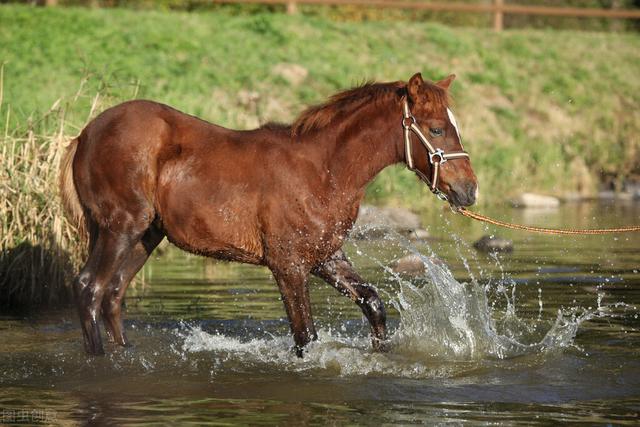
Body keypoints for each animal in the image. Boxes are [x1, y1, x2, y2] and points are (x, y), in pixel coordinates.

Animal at [60, 73, 478, 358]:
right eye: (436, 129)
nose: (469, 190)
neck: (323, 170)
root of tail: (84, 135)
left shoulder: (326, 257)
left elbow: (373, 305)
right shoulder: (288, 265)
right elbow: (305, 337)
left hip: (144, 235)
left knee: (113, 293)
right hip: (120, 227)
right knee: (89, 288)